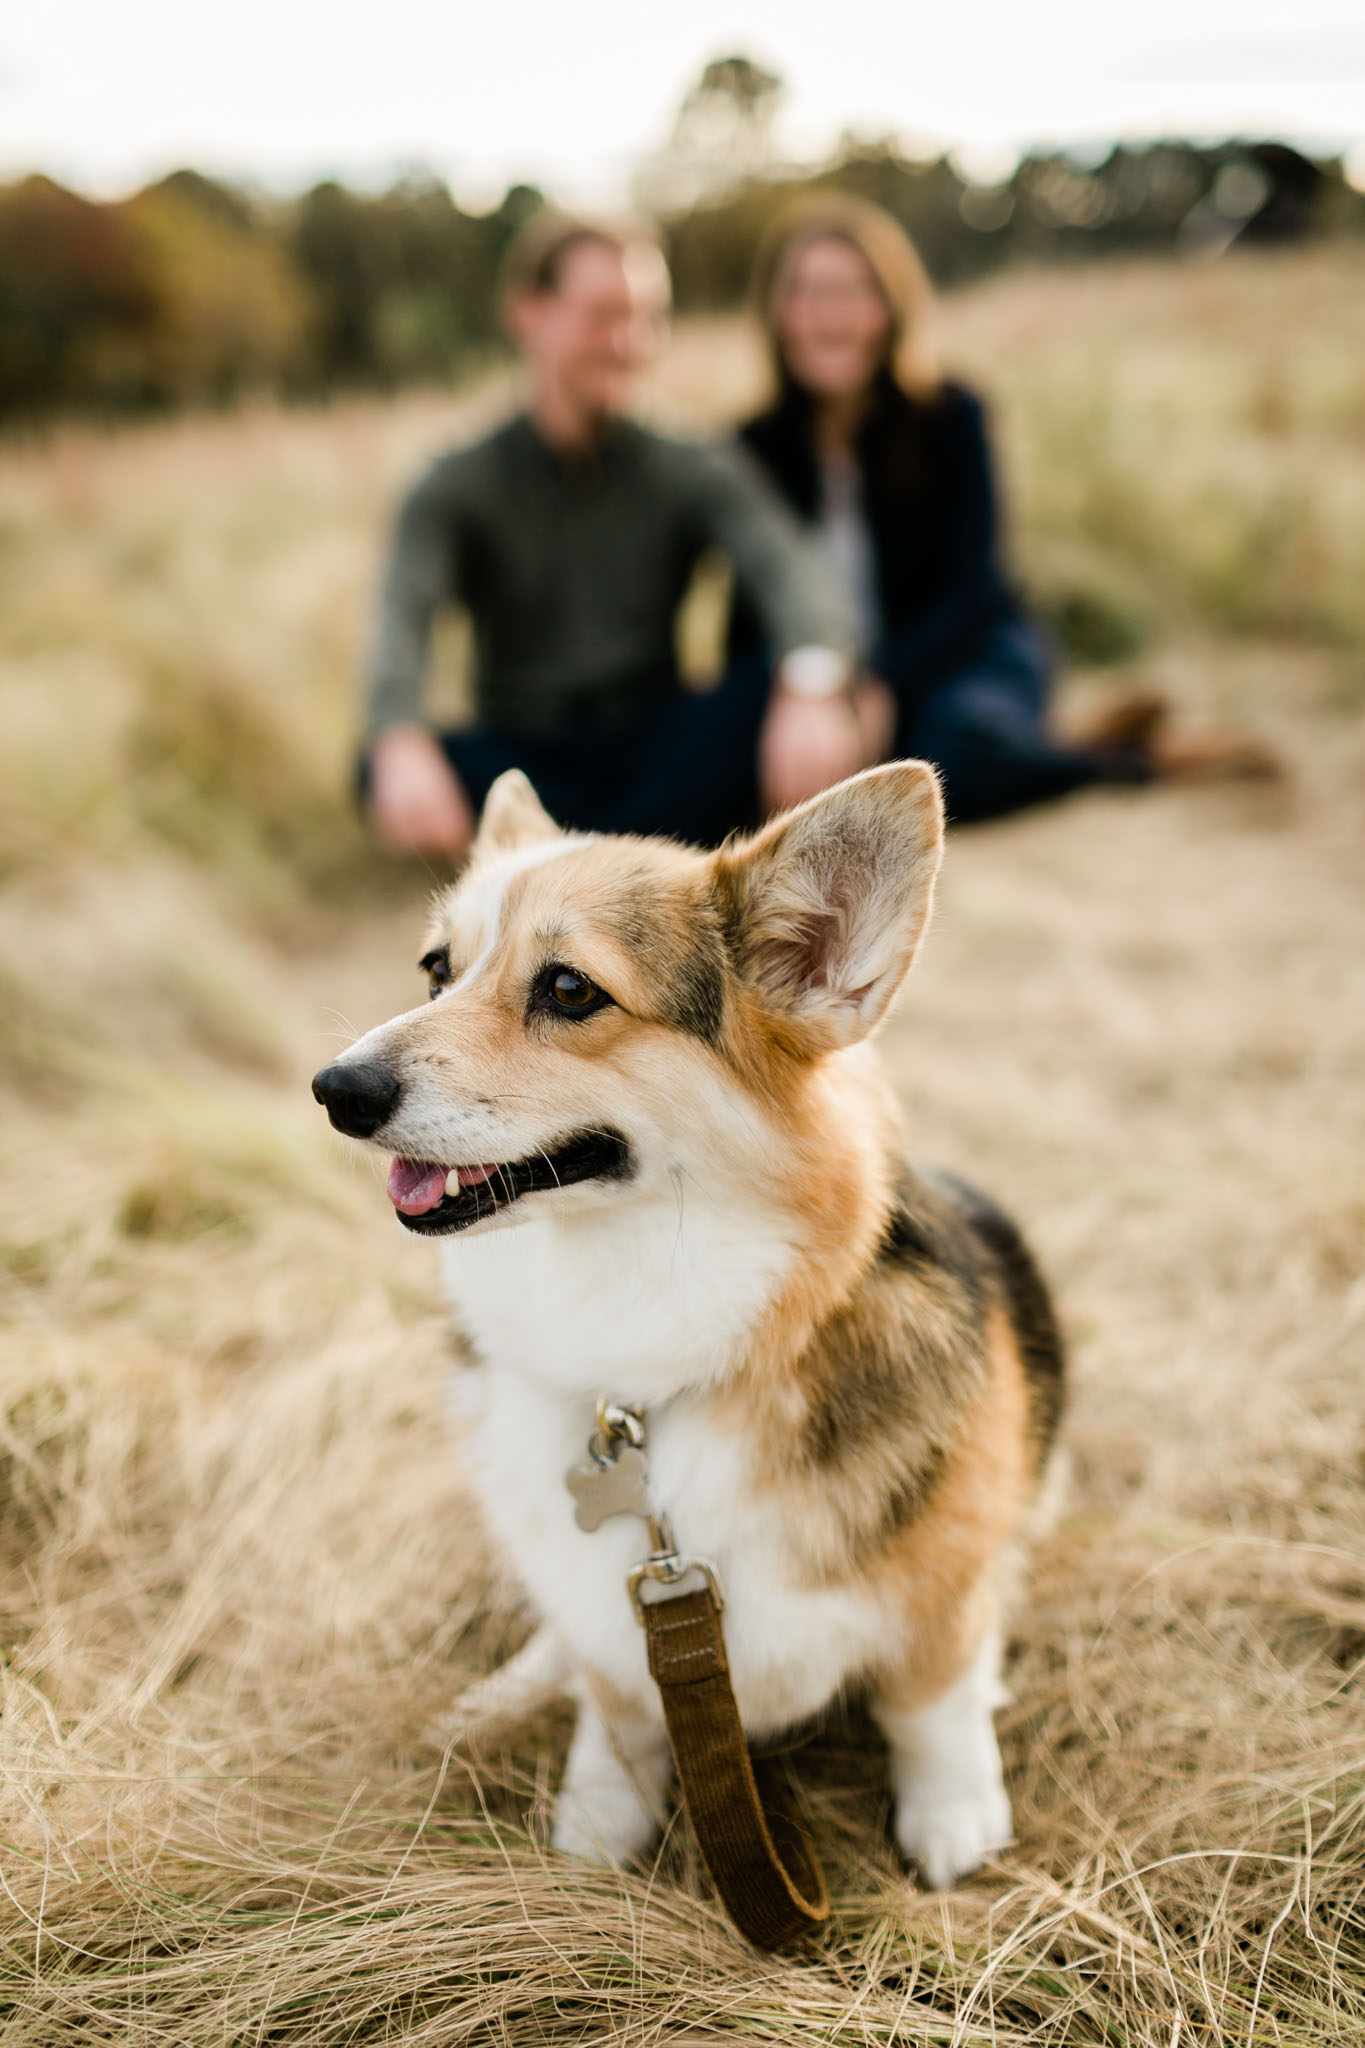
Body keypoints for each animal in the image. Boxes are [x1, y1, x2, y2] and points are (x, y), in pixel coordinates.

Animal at [315, 765, 1064, 1884]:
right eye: (436, 968)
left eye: (570, 989)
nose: (335, 1089)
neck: (643, 1346)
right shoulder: (618, 1634)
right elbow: (616, 1713)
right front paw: (596, 1826)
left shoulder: (942, 1587)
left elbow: (928, 1698)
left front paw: (952, 1817)